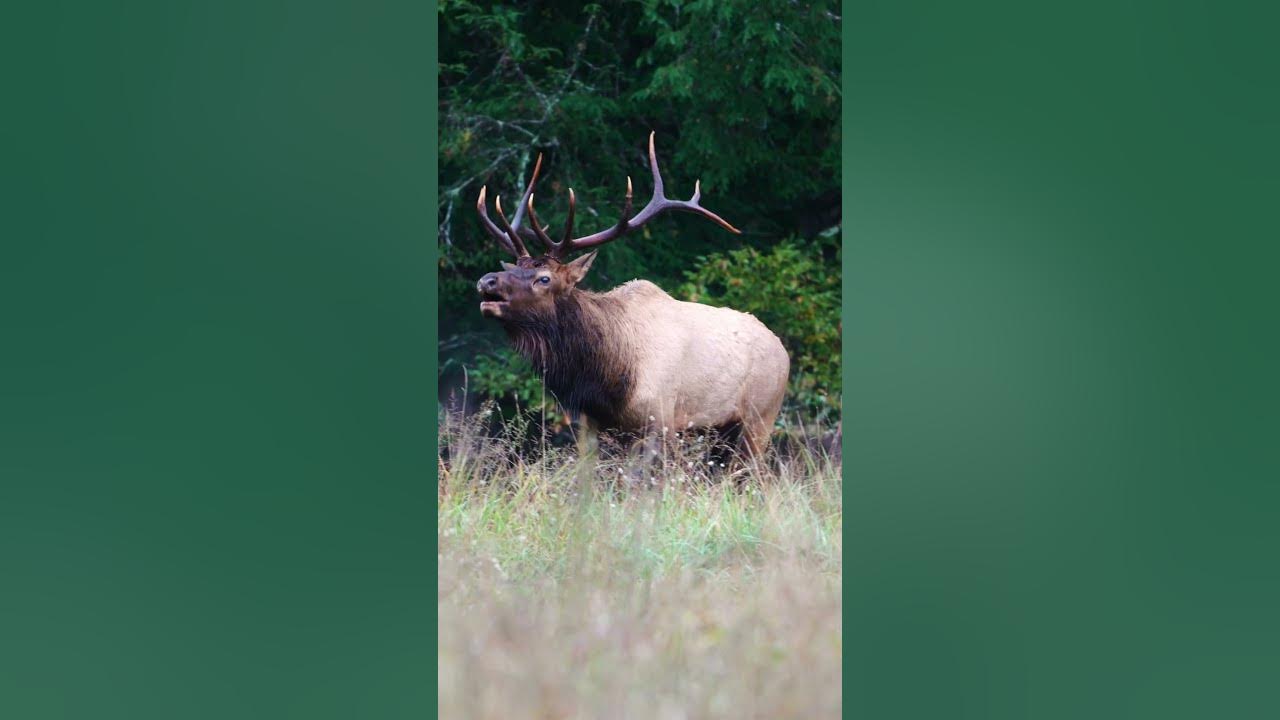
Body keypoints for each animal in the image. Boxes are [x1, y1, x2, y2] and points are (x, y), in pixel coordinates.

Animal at [474, 133, 789, 465]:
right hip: (721, 432)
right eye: (514, 268)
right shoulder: (590, 424)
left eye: (544, 278)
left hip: (760, 419)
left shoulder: (661, 421)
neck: (609, 379)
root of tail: (783, 351)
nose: (487, 280)